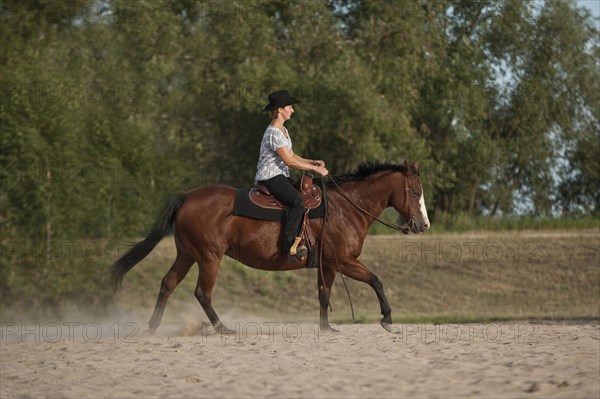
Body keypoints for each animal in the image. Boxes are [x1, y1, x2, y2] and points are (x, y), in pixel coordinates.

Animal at [111, 160, 432, 334]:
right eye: (416, 191)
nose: (424, 225)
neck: (345, 208)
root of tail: (187, 197)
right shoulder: (345, 260)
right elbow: (376, 280)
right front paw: (387, 318)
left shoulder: (329, 264)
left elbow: (324, 294)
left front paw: (326, 327)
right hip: (209, 257)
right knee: (202, 292)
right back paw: (222, 328)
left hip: (187, 254)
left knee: (167, 284)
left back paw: (153, 327)